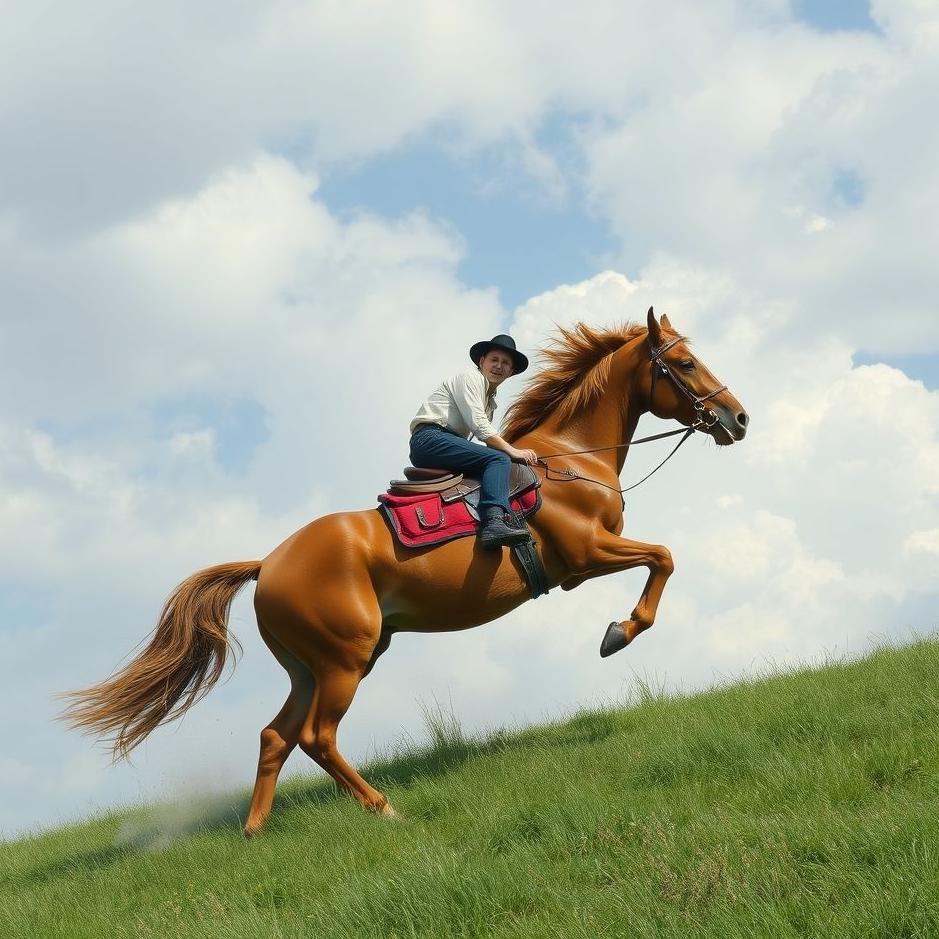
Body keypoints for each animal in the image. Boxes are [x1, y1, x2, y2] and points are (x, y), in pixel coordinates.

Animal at [63, 308, 748, 836]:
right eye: (685, 363)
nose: (738, 419)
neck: (569, 460)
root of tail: (268, 564)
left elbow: (662, 558)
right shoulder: (587, 554)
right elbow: (663, 558)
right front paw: (617, 633)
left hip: (316, 666)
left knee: (275, 736)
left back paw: (255, 829)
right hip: (344, 661)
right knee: (316, 737)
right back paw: (383, 808)